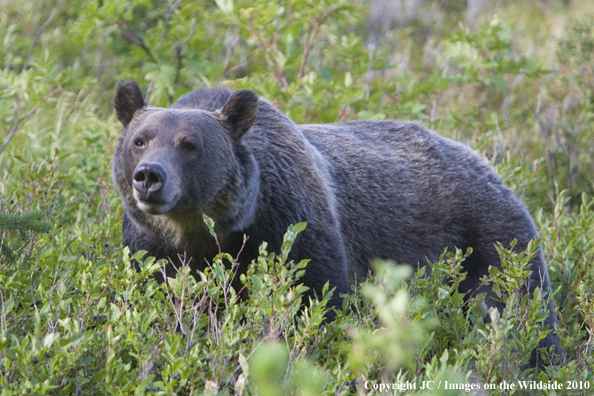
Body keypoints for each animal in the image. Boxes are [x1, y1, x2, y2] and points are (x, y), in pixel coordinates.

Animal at [112, 79, 560, 366]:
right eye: (140, 140)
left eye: (190, 144)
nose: (149, 176)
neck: (207, 231)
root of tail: (492, 167)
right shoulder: (151, 250)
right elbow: (155, 307)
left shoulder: (291, 228)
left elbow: (315, 302)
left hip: (491, 244)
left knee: (520, 313)